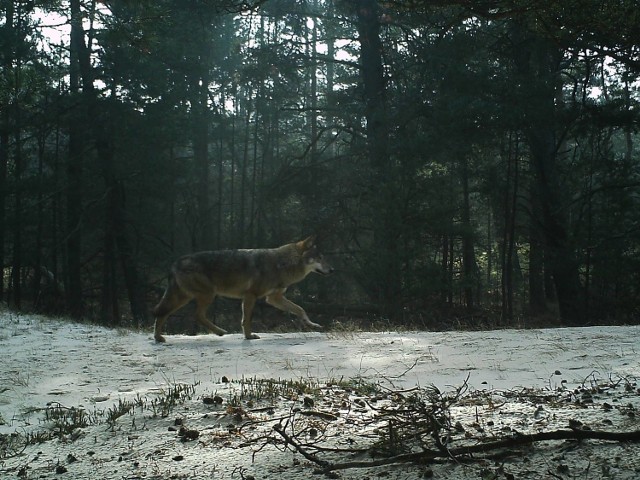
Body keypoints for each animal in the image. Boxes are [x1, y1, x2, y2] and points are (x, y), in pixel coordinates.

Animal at [152, 235, 332, 342]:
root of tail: (175, 263)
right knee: (193, 314)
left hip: (187, 297)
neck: (282, 263)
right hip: (206, 295)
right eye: (319, 258)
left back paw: (159, 337)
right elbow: (247, 320)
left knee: (166, 314)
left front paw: (312, 324)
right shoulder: (251, 296)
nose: (332, 270)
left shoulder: (274, 299)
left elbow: (300, 309)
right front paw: (249, 336)